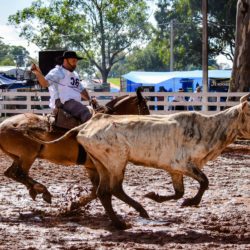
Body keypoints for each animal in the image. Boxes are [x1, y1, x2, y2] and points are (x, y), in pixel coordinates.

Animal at [0, 88, 148, 203]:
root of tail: (3, 125)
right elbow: (97, 190)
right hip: (28, 156)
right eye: (145, 107)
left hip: (19, 157)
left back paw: (36, 190)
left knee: (11, 173)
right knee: (19, 173)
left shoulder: (92, 167)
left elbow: (95, 191)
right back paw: (41, 190)